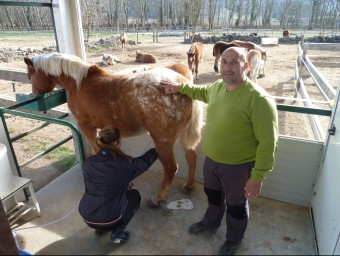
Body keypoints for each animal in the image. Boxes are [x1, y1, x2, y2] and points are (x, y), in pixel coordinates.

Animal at [24, 53, 205, 207]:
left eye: (29, 76)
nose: (34, 95)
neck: (78, 83)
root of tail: (182, 83)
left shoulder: (87, 127)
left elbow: (98, 149)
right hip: (183, 136)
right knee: (191, 157)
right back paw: (189, 186)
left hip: (163, 141)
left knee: (171, 167)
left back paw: (158, 198)